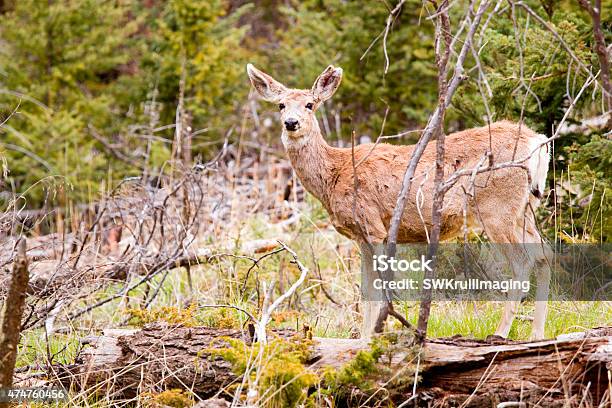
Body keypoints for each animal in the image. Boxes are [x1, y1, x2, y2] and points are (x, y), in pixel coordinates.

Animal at [246, 62, 552, 340]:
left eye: (310, 104)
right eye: (281, 105)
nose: (291, 123)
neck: (334, 173)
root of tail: (538, 142)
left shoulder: (373, 226)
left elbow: (375, 291)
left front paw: (372, 336)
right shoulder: (362, 236)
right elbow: (366, 290)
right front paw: (365, 337)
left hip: (497, 208)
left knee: (524, 262)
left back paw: (500, 334)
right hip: (525, 208)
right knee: (544, 254)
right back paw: (537, 335)